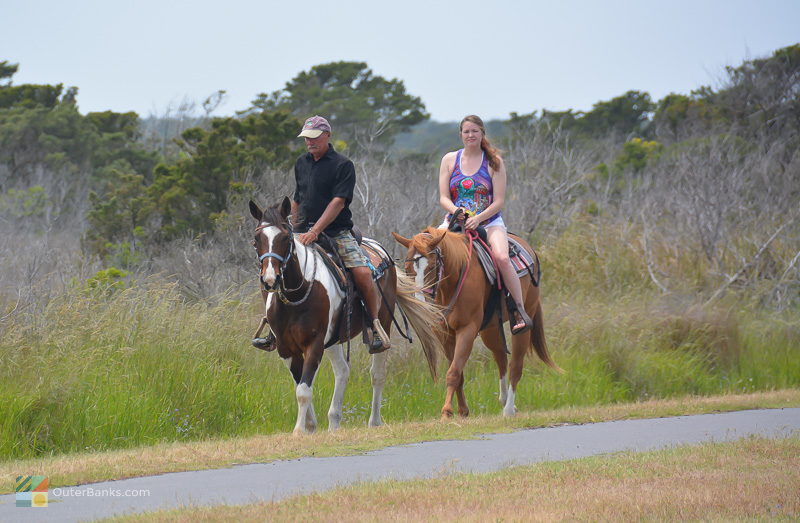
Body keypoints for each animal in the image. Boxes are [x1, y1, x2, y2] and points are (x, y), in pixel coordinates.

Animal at [248, 199, 440, 436]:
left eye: (285, 238)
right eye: (257, 240)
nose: (269, 279)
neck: (298, 294)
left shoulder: (314, 343)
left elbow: (303, 389)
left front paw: (299, 431)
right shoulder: (286, 348)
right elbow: (300, 384)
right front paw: (310, 425)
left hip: (382, 324)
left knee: (377, 374)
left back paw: (374, 420)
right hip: (333, 340)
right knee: (342, 371)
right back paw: (334, 421)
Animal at [392, 227, 556, 420]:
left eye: (431, 267)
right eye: (407, 269)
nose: (422, 304)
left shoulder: (467, 330)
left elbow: (453, 372)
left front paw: (446, 411)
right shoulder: (445, 335)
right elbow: (458, 373)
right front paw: (462, 410)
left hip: (523, 324)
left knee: (515, 365)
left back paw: (508, 409)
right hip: (490, 331)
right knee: (501, 358)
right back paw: (504, 401)